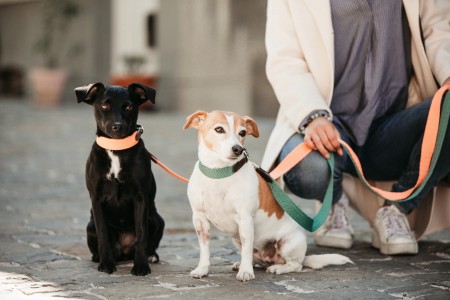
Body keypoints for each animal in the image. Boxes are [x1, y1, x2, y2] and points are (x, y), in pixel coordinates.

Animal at [74, 82, 164, 276]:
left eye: (128, 106)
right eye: (104, 105)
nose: (118, 126)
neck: (116, 148)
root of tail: (124, 252)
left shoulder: (140, 198)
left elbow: (141, 232)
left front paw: (141, 266)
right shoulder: (97, 199)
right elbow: (102, 234)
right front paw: (106, 264)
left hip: (157, 219)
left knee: (149, 243)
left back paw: (151, 256)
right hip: (89, 225)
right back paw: (99, 258)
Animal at [183, 110, 352, 282]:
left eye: (242, 132)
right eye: (219, 129)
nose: (238, 148)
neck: (220, 173)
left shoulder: (245, 219)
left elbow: (247, 248)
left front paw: (246, 272)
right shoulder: (200, 220)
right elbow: (205, 250)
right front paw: (202, 269)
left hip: (288, 243)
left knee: (295, 265)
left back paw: (278, 268)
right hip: (237, 240)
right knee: (254, 257)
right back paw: (244, 264)